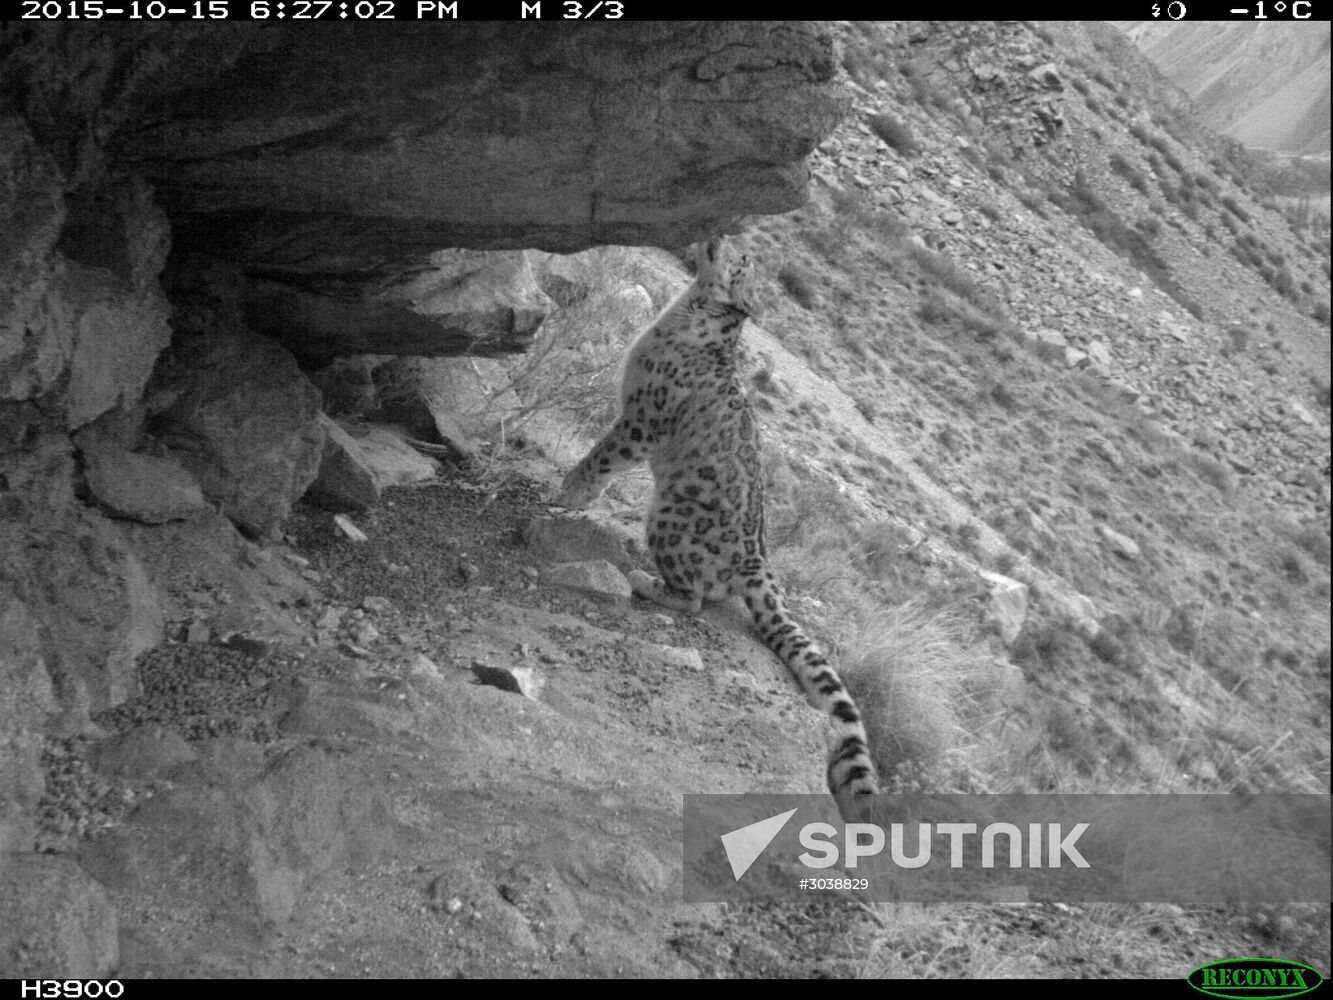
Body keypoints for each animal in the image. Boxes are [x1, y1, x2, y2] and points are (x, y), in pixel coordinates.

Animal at [558, 235, 879, 820]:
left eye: (745, 261)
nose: (724, 237)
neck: (676, 314)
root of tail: (760, 561)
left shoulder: (640, 421)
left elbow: (602, 455)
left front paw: (571, 489)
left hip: (667, 515)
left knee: (694, 597)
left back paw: (646, 582)